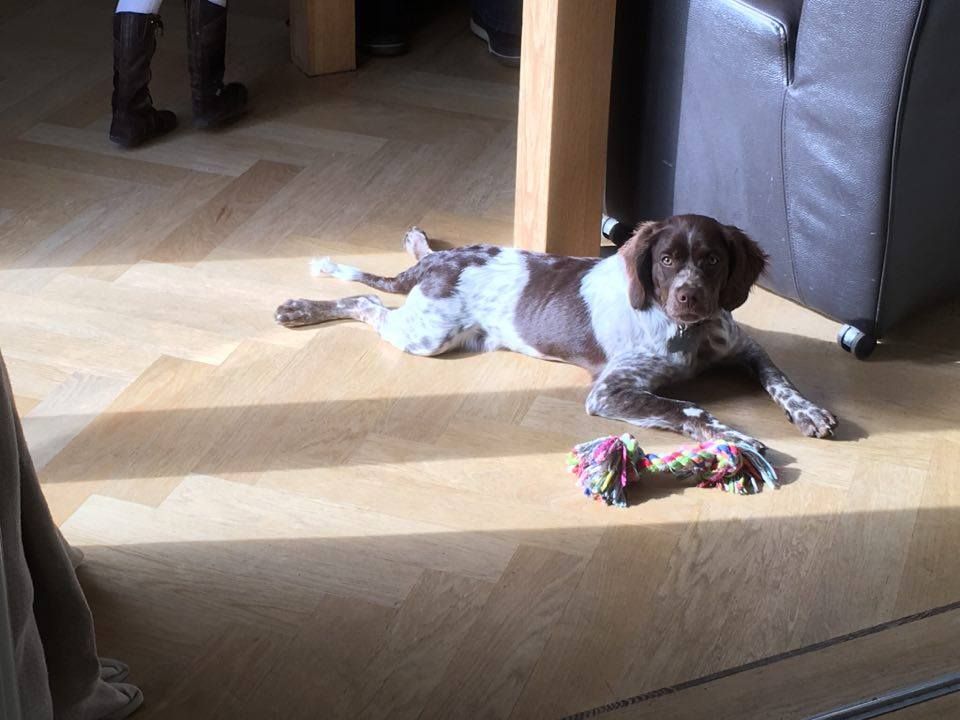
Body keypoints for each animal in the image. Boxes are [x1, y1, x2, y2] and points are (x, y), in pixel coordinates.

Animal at [275, 214, 837, 450]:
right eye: (667, 260)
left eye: (713, 260)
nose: (690, 297)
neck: (687, 333)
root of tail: (441, 266)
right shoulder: (609, 392)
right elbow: (689, 408)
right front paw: (733, 436)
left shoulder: (744, 345)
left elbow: (781, 380)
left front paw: (808, 411)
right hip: (427, 334)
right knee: (366, 300)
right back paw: (301, 308)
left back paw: (417, 239)